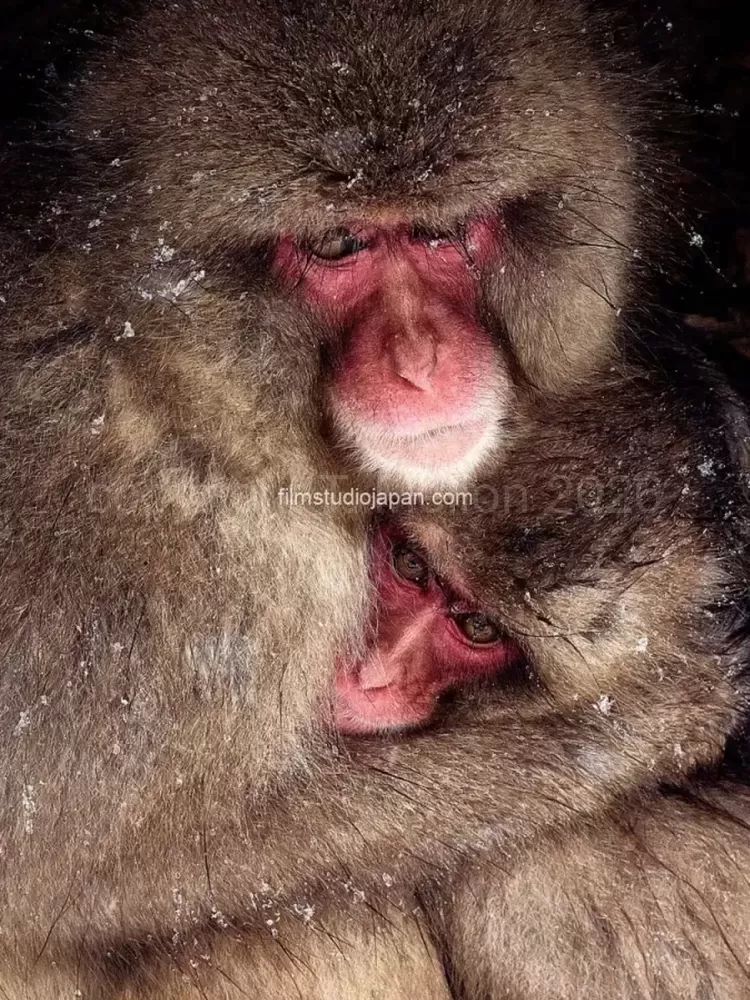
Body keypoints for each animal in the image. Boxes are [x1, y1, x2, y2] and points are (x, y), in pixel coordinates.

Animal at [0, 0, 695, 993]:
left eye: (442, 233)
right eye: (338, 244)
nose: (422, 363)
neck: (170, 378)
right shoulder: (213, 595)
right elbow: (98, 882)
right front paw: (655, 718)